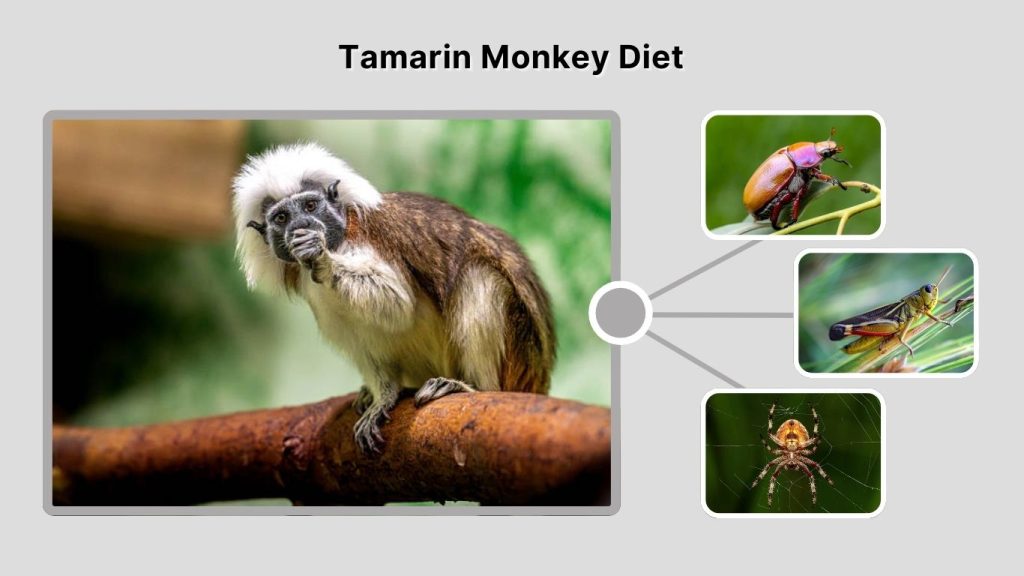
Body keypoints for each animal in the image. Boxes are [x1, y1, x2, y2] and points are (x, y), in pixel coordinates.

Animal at [233, 142, 556, 454]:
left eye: (310, 206)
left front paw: (323, 261)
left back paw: (472, 386)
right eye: (282, 217)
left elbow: (397, 304)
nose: (302, 226)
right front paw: (383, 397)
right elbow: (362, 338)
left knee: (479, 274)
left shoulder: (364, 239)